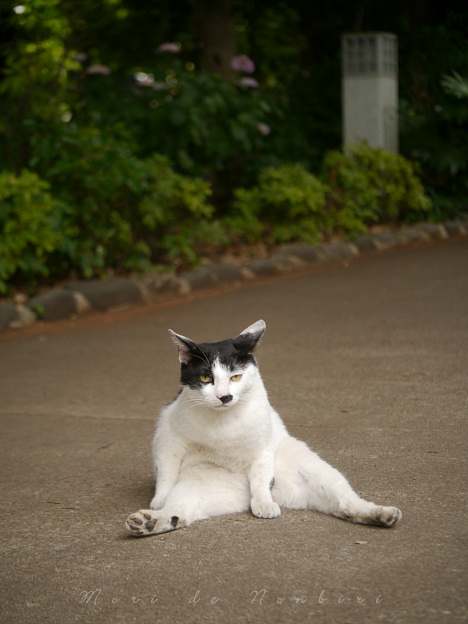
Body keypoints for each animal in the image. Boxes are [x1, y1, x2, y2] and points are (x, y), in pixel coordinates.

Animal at [125, 322, 402, 536]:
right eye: (205, 378)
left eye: (236, 377)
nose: (224, 397)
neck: (223, 422)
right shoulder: (168, 440)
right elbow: (166, 474)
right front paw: (159, 500)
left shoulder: (262, 447)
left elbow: (259, 478)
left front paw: (263, 504)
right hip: (197, 484)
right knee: (180, 511)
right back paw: (150, 521)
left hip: (317, 471)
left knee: (345, 504)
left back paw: (382, 514)